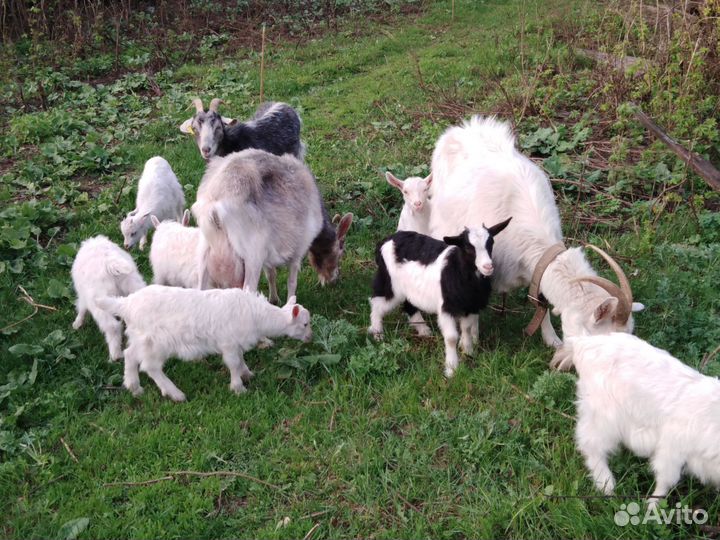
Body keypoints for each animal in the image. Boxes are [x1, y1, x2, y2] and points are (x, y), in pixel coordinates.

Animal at [97, 286, 311, 401]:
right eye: (305, 324)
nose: (311, 338)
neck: (256, 315)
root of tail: (126, 304)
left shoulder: (236, 342)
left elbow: (240, 360)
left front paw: (247, 374)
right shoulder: (228, 342)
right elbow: (233, 363)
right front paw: (238, 388)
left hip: (140, 337)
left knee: (130, 354)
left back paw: (134, 387)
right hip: (157, 342)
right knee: (151, 367)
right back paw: (175, 394)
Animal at [192, 148, 352, 301]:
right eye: (340, 250)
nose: (333, 280)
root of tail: (214, 206)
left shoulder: (269, 251)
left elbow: (271, 274)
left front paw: (274, 299)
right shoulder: (299, 249)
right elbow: (292, 282)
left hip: (204, 254)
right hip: (252, 256)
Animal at [368, 218, 511, 378]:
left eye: (491, 243)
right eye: (468, 248)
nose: (488, 267)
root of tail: (386, 240)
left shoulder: (471, 306)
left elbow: (467, 328)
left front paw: (468, 351)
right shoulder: (447, 307)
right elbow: (451, 338)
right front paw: (451, 369)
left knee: (409, 305)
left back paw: (423, 330)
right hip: (389, 282)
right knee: (377, 303)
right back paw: (377, 333)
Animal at [554, 332, 720, 508]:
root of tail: (583, 343)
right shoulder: (671, 449)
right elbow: (666, 480)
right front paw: (652, 506)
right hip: (604, 416)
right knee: (590, 445)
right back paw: (606, 484)